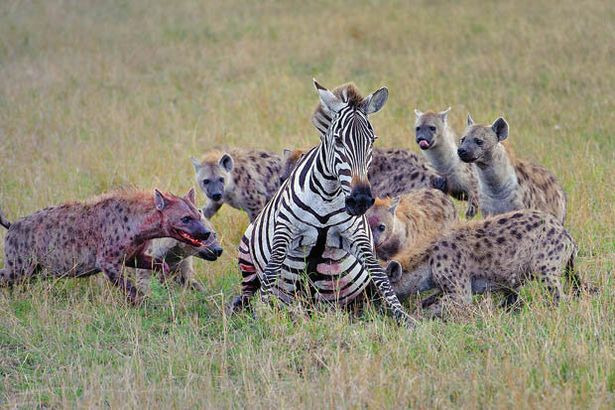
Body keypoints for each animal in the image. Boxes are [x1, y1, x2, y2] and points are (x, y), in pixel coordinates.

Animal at [229, 78, 416, 326]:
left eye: (372, 140)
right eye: (338, 140)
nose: (360, 200)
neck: (327, 197)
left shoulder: (357, 236)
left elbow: (380, 276)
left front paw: (405, 318)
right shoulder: (284, 231)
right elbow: (271, 271)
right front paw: (260, 317)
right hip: (246, 258)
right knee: (248, 292)